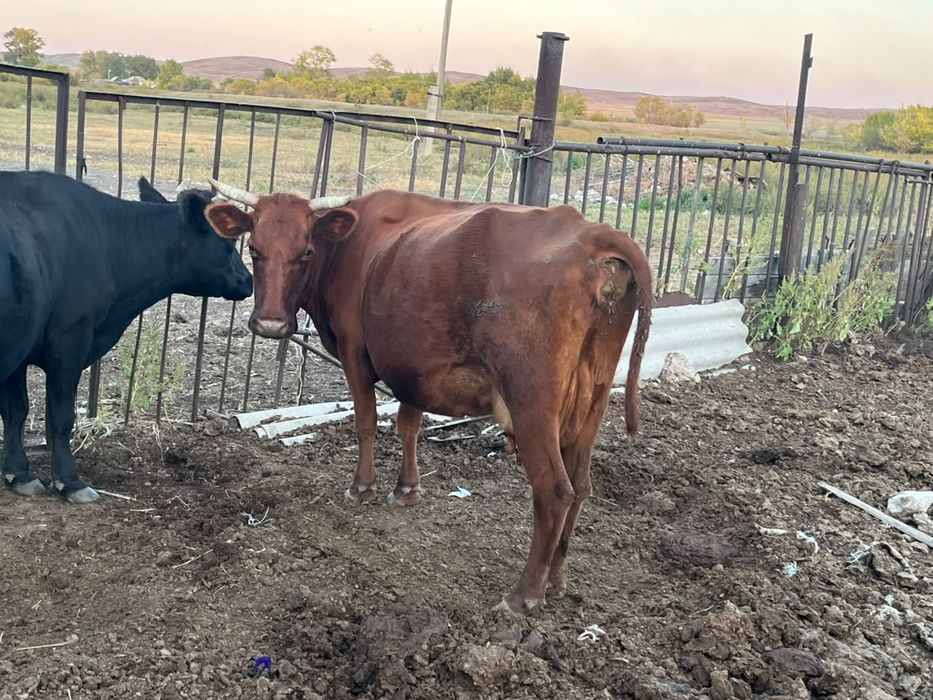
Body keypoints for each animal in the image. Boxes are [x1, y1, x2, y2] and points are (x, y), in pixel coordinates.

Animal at [0, 172, 253, 504]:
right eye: (229, 241)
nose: (248, 280)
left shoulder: (21, 347)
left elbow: (15, 410)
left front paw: (18, 473)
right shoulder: (70, 343)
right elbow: (61, 417)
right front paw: (70, 482)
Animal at [205, 182, 651, 613]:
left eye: (307, 251)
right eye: (254, 249)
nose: (270, 325)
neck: (350, 246)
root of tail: (594, 233)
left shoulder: (354, 353)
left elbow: (366, 422)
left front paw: (362, 487)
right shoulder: (413, 364)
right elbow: (408, 425)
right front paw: (407, 490)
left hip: (532, 402)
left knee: (556, 491)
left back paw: (523, 595)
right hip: (591, 401)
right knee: (582, 485)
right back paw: (556, 580)